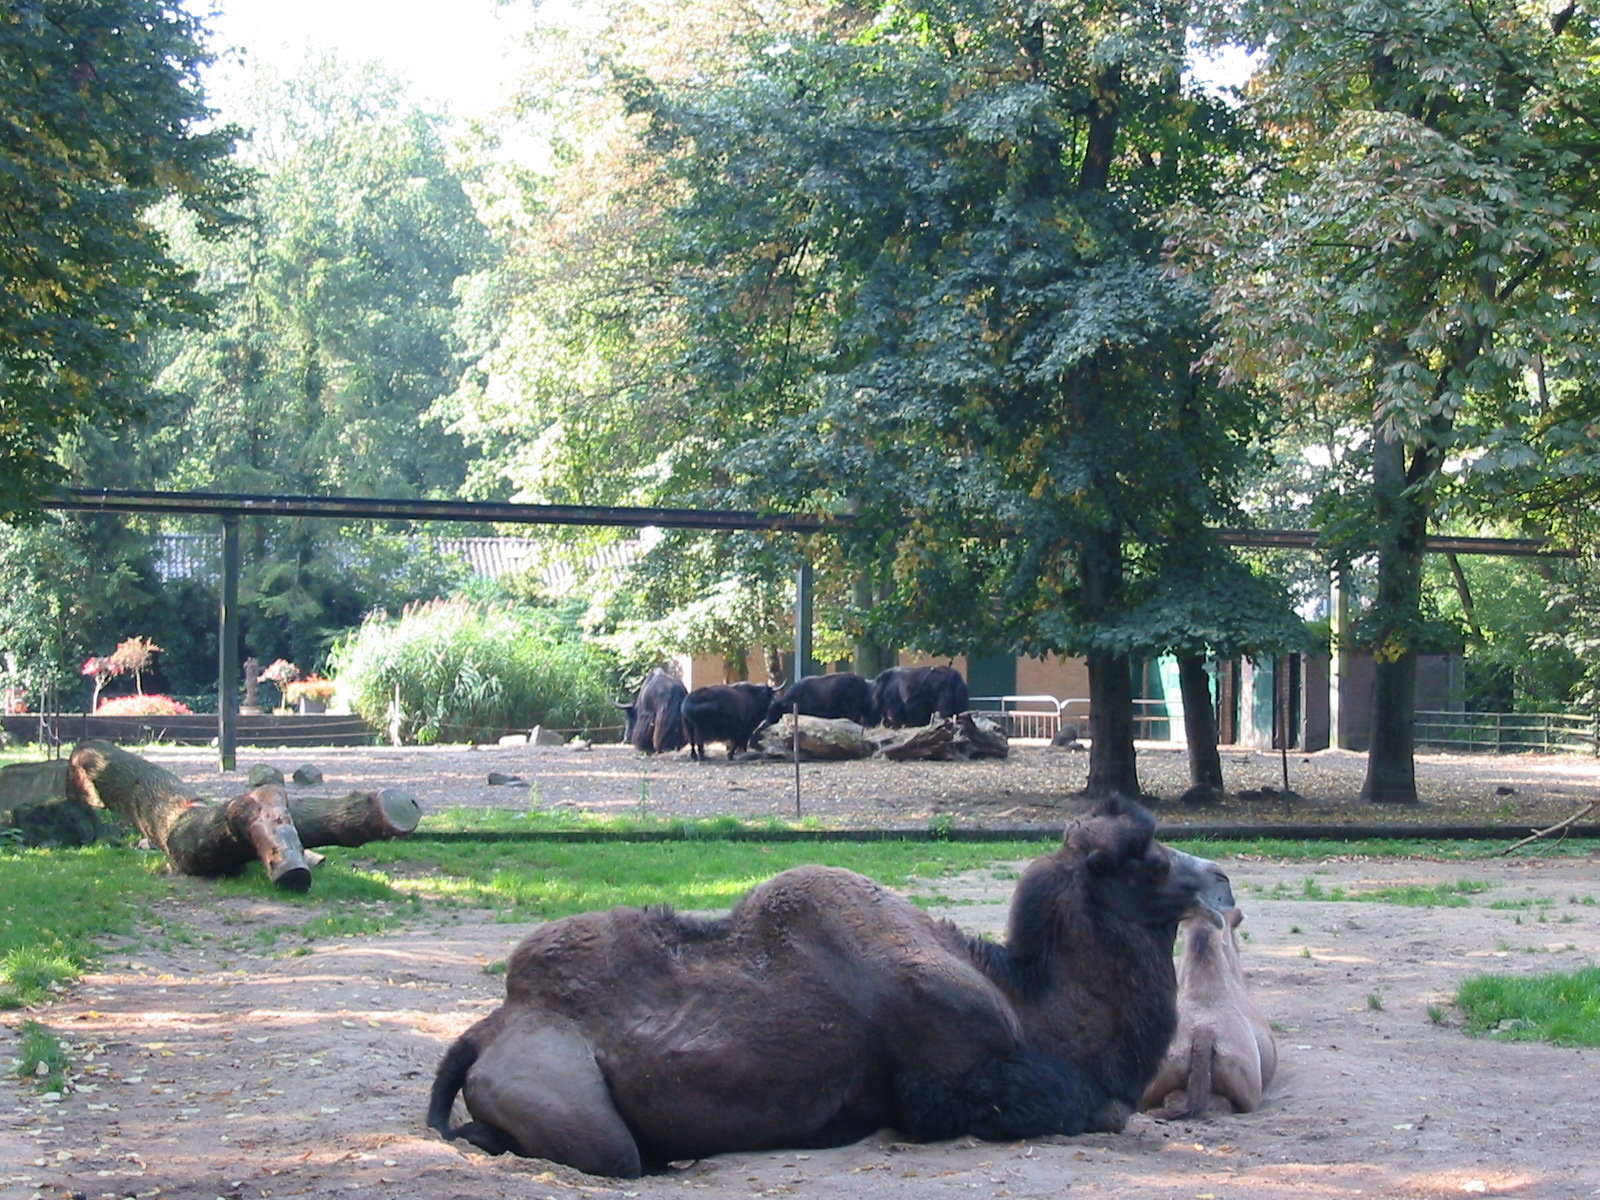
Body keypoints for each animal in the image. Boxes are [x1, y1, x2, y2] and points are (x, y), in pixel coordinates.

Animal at [429, 797, 1233, 1177]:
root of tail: (486, 1029)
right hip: (563, 1098)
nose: (1223, 882)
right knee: (602, 1153)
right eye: (1148, 861)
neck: (1029, 1003)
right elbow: (1107, 1112)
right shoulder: (958, 1071)